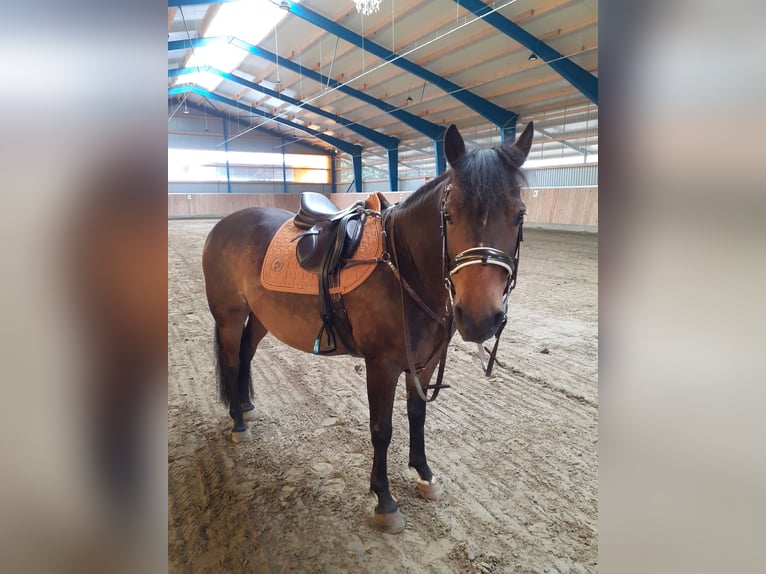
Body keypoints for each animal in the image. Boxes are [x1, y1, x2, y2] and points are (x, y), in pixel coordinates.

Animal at [202, 121, 534, 533]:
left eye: (519, 215)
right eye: (450, 215)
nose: (479, 318)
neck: (402, 268)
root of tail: (224, 225)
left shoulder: (424, 363)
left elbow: (417, 415)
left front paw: (424, 474)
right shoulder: (381, 366)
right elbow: (381, 429)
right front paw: (384, 500)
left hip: (261, 317)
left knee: (246, 355)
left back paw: (246, 407)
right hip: (229, 316)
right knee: (232, 362)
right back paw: (237, 423)